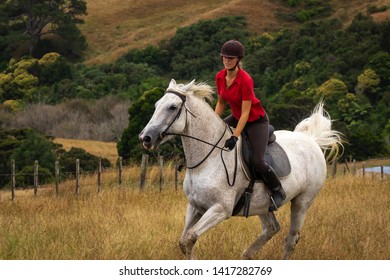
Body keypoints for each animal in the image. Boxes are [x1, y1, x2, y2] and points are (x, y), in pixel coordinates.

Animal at [139, 79, 342, 260]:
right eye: (156, 105)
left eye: (172, 107)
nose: (145, 138)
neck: (208, 158)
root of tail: (311, 140)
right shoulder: (195, 206)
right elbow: (184, 242)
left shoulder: (220, 209)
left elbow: (190, 238)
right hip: (262, 204)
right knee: (271, 228)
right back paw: (246, 256)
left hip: (302, 201)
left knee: (291, 239)